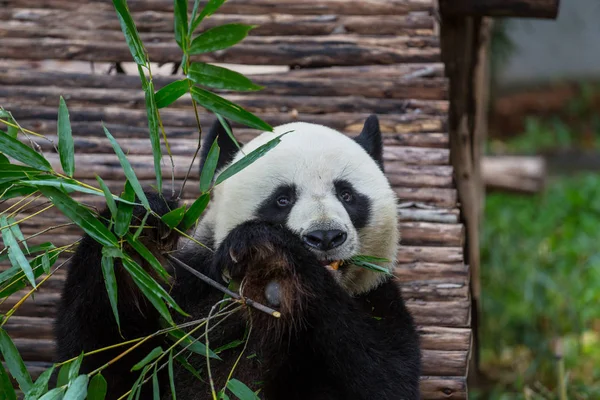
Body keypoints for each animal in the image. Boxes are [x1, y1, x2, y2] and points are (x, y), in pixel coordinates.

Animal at [56, 114, 422, 398]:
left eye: (347, 194)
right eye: (282, 199)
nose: (325, 236)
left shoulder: (377, 300)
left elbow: (384, 376)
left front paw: (272, 257)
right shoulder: (187, 295)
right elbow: (97, 363)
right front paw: (137, 229)